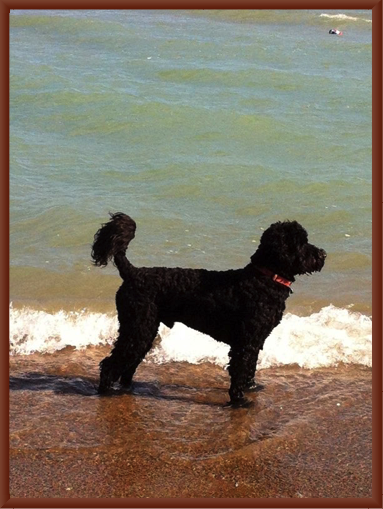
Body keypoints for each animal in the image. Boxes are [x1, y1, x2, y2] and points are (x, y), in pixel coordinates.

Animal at [91, 212, 326, 406]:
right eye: (301, 242)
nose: (323, 254)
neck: (263, 278)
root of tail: (133, 273)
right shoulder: (244, 342)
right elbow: (240, 369)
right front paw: (239, 400)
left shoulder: (255, 340)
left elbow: (250, 367)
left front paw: (251, 387)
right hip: (137, 328)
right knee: (110, 364)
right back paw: (106, 392)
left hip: (144, 330)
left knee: (128, 363)